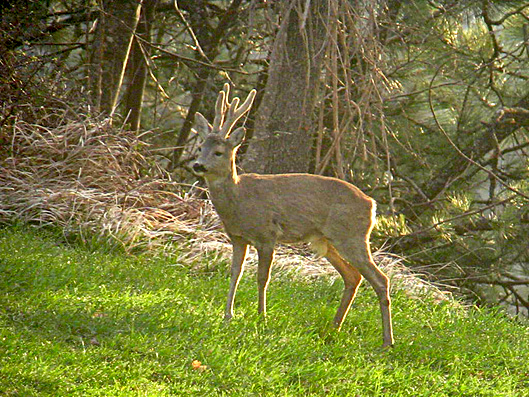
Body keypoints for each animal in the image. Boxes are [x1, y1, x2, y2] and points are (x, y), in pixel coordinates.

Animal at [190, 83, 392, 346]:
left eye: (219, 152)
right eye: (200, 147)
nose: (198, 165)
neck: (239, 199)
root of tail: (372, 204)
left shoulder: (267, 235)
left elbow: (262, 277)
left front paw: (261, 317)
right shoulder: (237, 237)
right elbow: (235, 273)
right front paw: (227, 316)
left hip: (352, 237)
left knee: (380, 279)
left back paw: (387, 342)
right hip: (325, 241)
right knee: (353, 276)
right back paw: (334, 327)